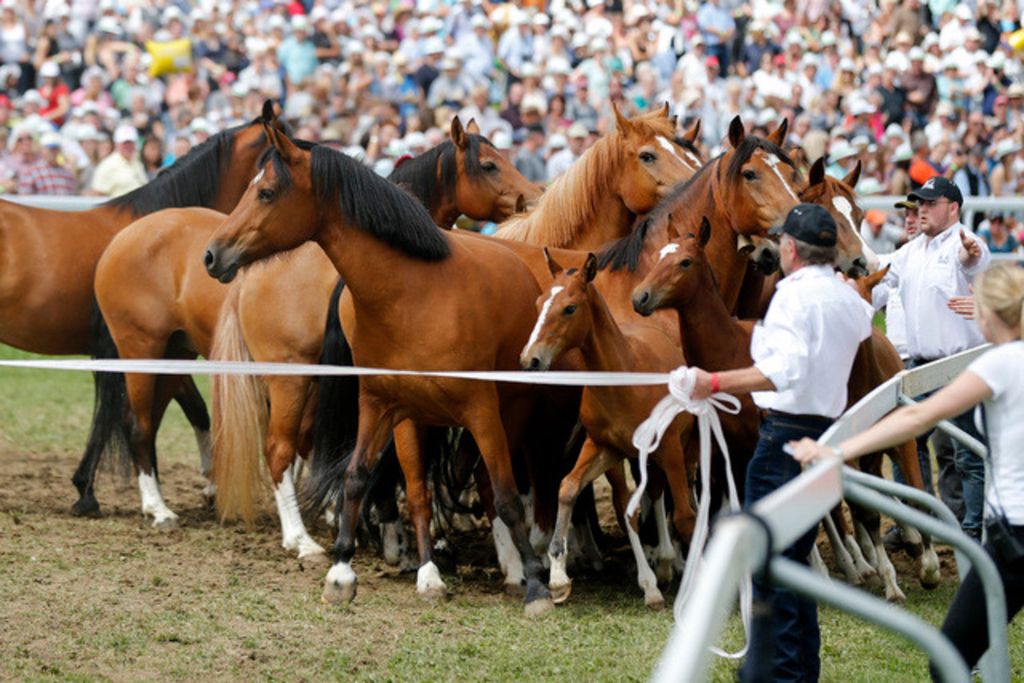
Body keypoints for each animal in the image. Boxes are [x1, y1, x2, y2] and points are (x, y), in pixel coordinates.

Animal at [204, 124, 567, 616]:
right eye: (490, 165)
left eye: (266, 191)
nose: (211, 254)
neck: (413, 293)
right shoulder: (382, 405)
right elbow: (361, 478)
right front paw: (347, 568)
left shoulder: (472, 410)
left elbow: (503, 494)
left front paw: (534, 584)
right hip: (293, 383)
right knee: (281, 451)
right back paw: (303, 540)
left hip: (504, 411)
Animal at [519, 250, 692, 608]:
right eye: (540, 302)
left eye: (570, 308)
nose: (530, 360)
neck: (624, 379)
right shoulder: (602, 446)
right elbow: (570, 488)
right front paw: (559, 579)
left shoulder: (669, 449)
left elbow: (684, 515)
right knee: (645, 496)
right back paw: (661, 570)